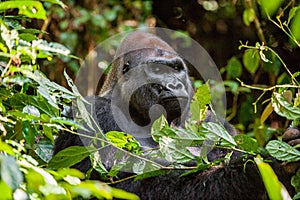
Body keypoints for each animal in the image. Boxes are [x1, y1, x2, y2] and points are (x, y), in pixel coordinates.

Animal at [54, 30, 300, 199]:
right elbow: (124, 186)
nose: (174, 84)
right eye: (157, 69)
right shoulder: (91, 113)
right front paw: (255, 171)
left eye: (176, 69)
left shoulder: (215, 123)